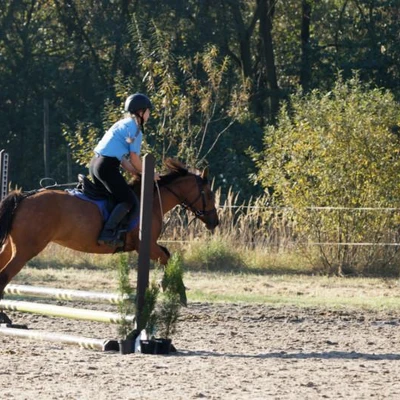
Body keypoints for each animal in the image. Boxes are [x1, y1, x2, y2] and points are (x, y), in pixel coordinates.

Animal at [0, 159, 219, 296]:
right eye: (209, 194)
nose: (215, 222)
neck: (151, 201)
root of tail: (23, 198)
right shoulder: (146, 245)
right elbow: (167, 258)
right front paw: (177, 291)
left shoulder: (150, 245)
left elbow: (168, 255)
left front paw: (168, 285)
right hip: (27, 249)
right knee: (5, 275)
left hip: (11, 246)